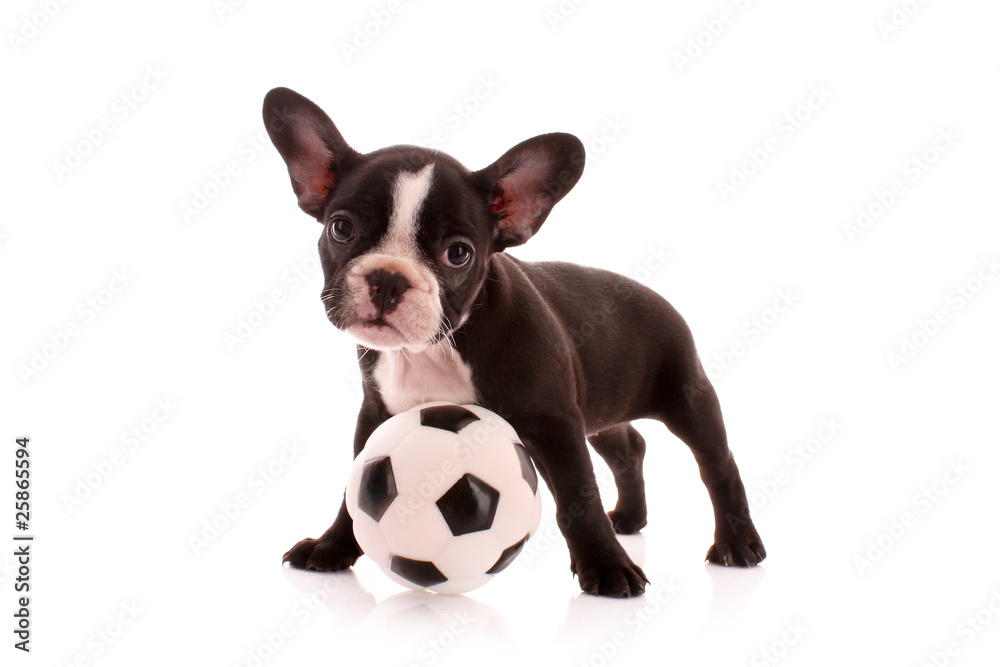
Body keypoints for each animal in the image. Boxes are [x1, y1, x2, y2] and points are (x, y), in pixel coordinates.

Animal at [264, 86, 764, 596]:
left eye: (458, 253)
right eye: (341, 228)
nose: (388, 278)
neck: (437, 347)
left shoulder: (555, 423)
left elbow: (578, 497)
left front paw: (607, 567)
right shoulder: (377, 414)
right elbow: (356, 488)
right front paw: (332, 546)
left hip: (687, 395)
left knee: (717, 465)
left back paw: (737, 543)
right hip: (600, 407)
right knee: (628, 446)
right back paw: (629, 517)